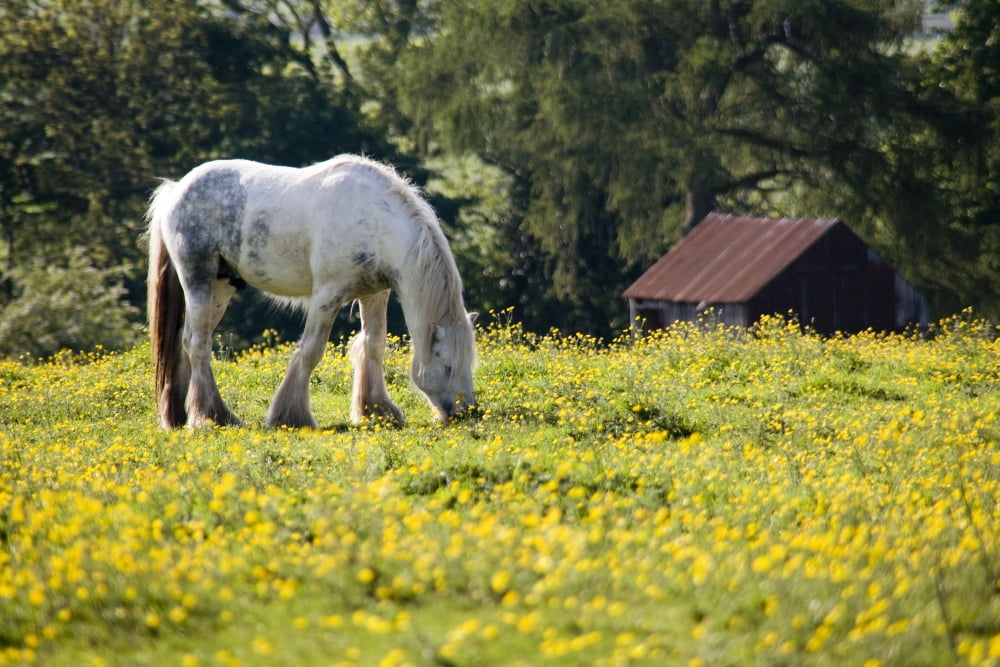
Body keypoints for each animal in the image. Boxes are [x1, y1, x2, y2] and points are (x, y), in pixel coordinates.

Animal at [145, 154, 477, 429]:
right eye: (447, 364)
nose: (466, 412)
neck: (373, 222)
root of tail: (177, 189)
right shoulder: (327, 296)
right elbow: (311, 350)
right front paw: (290, 416)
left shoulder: (374, 294)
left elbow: (373, 345)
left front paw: (375, 410)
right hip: (198, 278)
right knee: (197, 344)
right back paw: (215, 416)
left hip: (220, 287)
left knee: (185, 339)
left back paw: (178, 416)